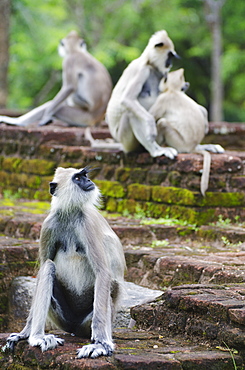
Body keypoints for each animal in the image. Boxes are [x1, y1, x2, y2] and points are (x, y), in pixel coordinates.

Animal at [4, 166, 125, 356]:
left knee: (110, 284)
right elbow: (42, 269)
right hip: (61, 319)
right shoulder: (49, 224)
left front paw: (100, 344)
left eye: (85, 175)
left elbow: (103, 273)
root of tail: (74, 328)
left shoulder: (87, 223)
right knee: (48, 266)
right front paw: (24, 333)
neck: (70, 213)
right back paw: (38, 337)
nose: (89, 181)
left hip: (88, 322)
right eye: (78, 178)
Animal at [106, 30, 179, 159]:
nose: (170, 63)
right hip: (125, 140)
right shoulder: (142, 70)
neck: (149, 63)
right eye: (170, 55)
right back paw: (155, 150)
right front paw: (151, 125)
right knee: (130, 113)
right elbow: (127, 100)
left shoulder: (161, 74)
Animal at [148, 69, 225, 197]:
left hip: (178, 142)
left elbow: (150, 117)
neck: (174, 90)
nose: (187, 84)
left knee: (162, 122)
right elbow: (201, 108)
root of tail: (191, 147)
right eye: (183, 81)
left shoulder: (163, 99)